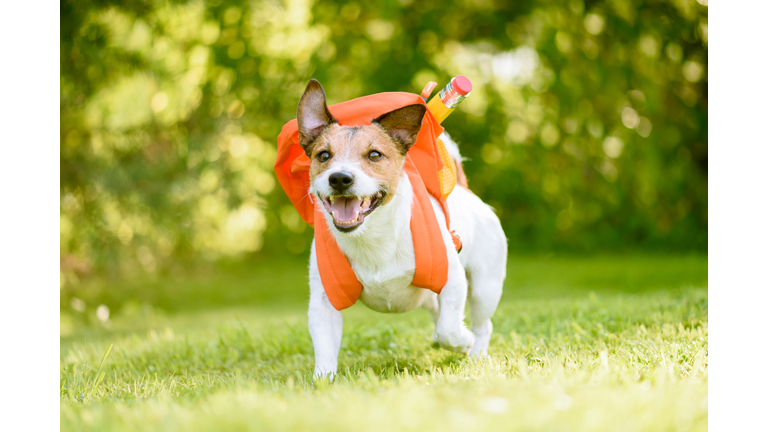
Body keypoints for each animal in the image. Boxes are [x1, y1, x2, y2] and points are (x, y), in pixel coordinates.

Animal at [296, 79, 508, 376]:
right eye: (323, 155)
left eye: (374, 155)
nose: (339, 178)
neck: (372, 238)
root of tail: (464, 191)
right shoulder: (324, 300)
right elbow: (324, 346)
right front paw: (323, 380)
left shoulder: (453, 279)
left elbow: (449, 329)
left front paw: (462, 340)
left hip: (485, 287)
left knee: (481, 325)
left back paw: (475, 351)